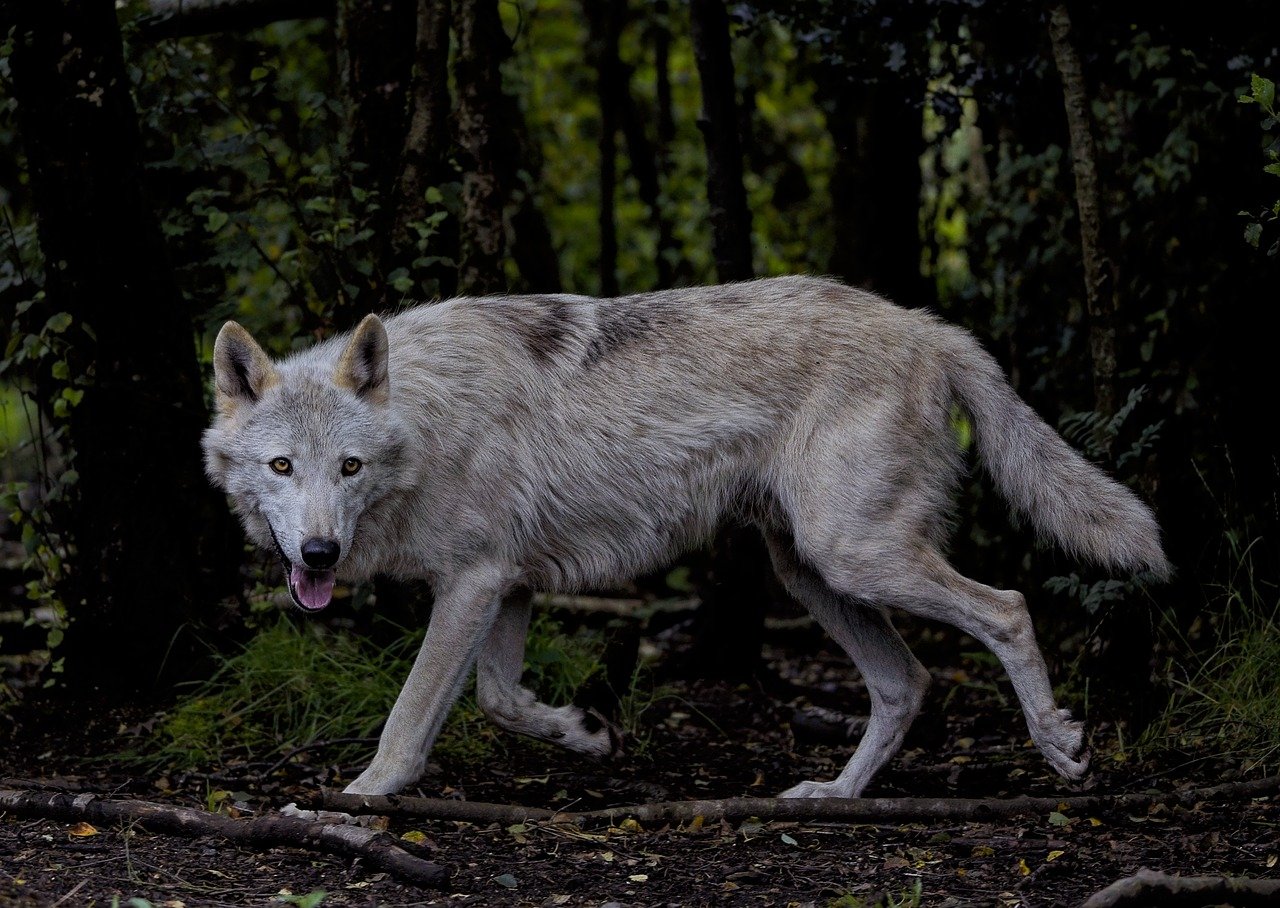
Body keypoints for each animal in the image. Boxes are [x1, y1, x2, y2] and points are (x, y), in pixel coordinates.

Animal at [202, 272, 1172, 799]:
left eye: (349, 469)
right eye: (283, 467)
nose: (319, 556)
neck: (424, 420)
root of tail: (928, 327)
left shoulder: (474, 583)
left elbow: (410, 718)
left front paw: (363, 795)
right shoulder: (507, 584)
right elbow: (503, 700)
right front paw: (588, 733)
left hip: (856, 558)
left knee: (1007, 608)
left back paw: (1060, 745)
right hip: (814, 573)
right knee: (908, 682)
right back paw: (834, 794)